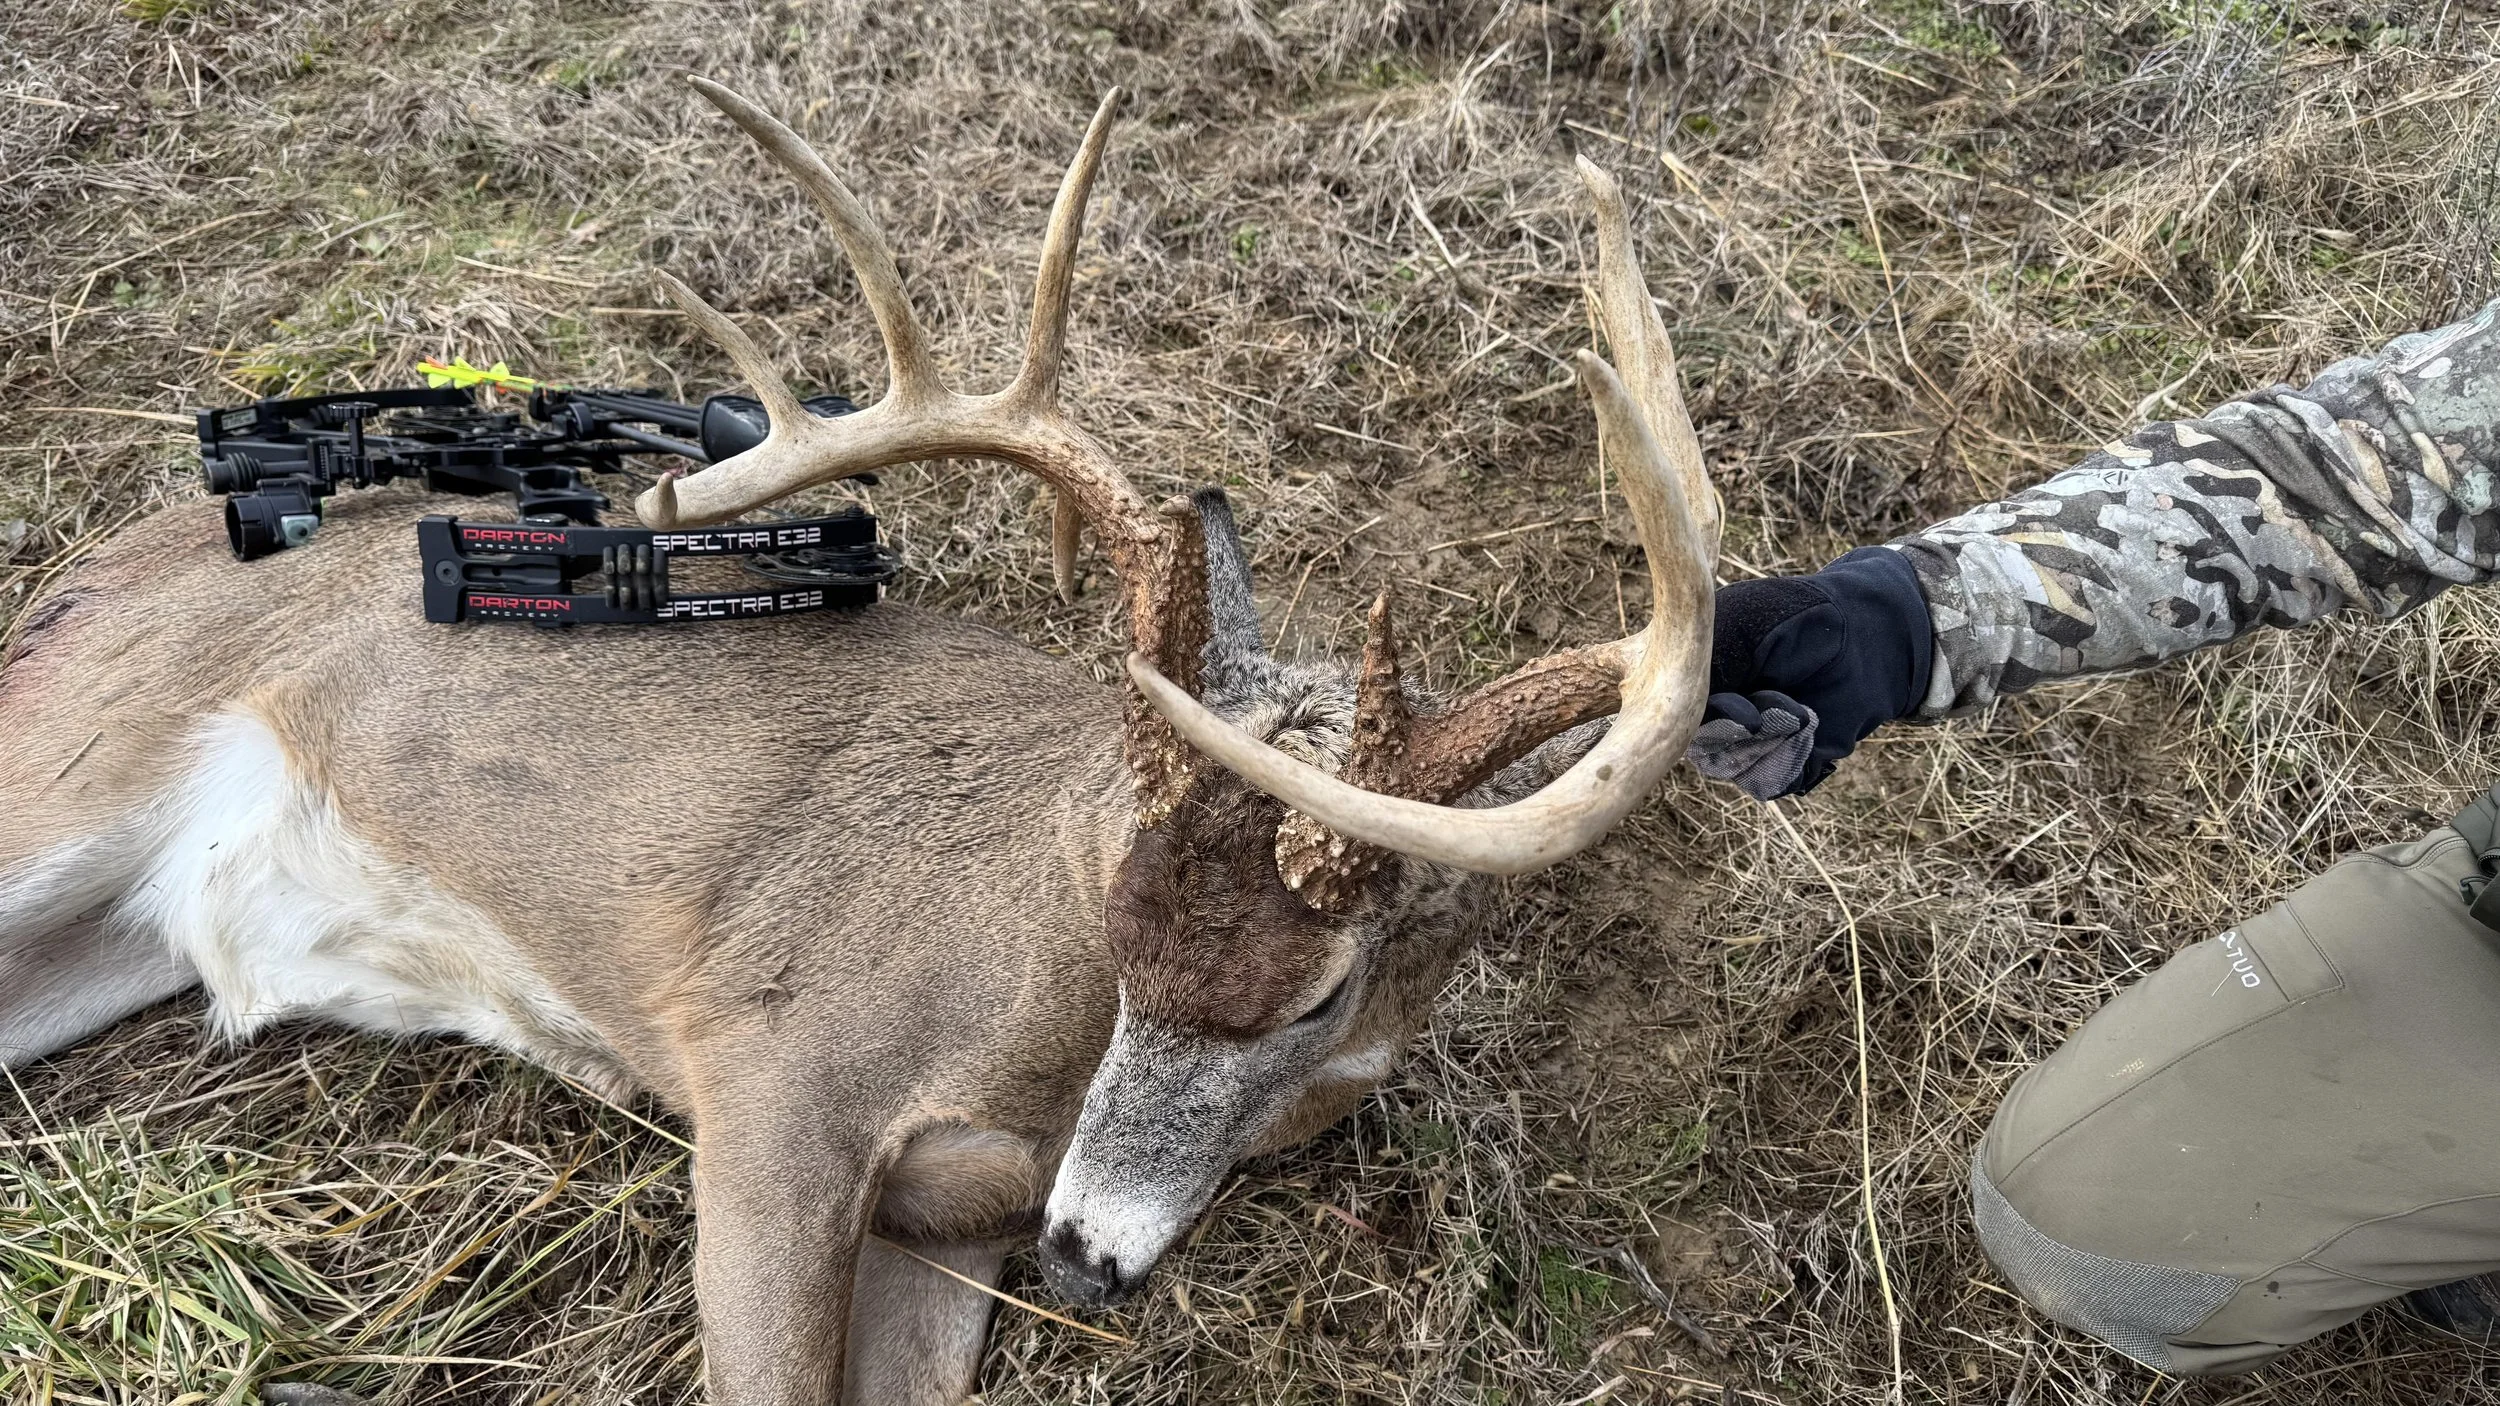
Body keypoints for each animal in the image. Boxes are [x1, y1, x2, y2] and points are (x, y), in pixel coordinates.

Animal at [0, 78, 1719, 1405]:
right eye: (1116, 912)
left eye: (1327, 991)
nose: (1086, 1252)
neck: (1029, 1042)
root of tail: (78, 577)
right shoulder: (771, 1074)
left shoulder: (945, 1227)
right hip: (67, 765)